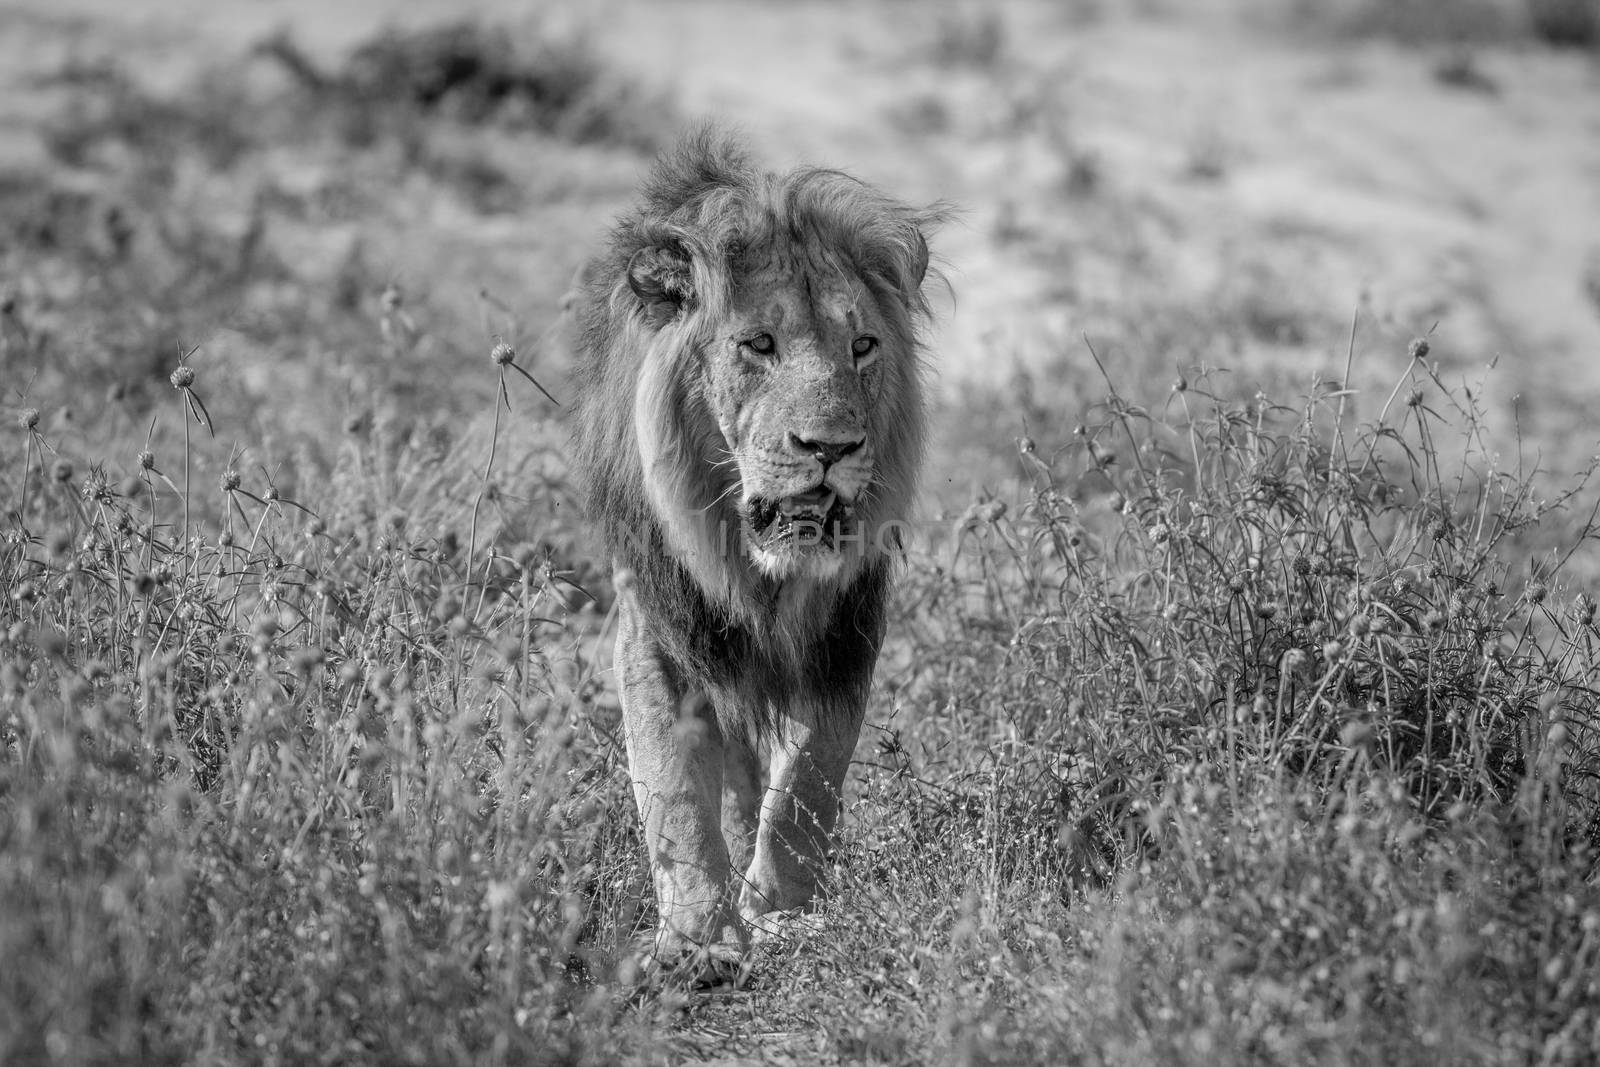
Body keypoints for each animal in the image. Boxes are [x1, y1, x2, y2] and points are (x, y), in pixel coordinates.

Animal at [569, 129, 940, 979]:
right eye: (758, 345)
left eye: (862, 346)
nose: (830, 447)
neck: (754, 566)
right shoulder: (657, 627)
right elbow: (673, 788)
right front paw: (698, 937)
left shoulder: (845, 632)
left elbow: (808, 779)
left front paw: (783, 916)